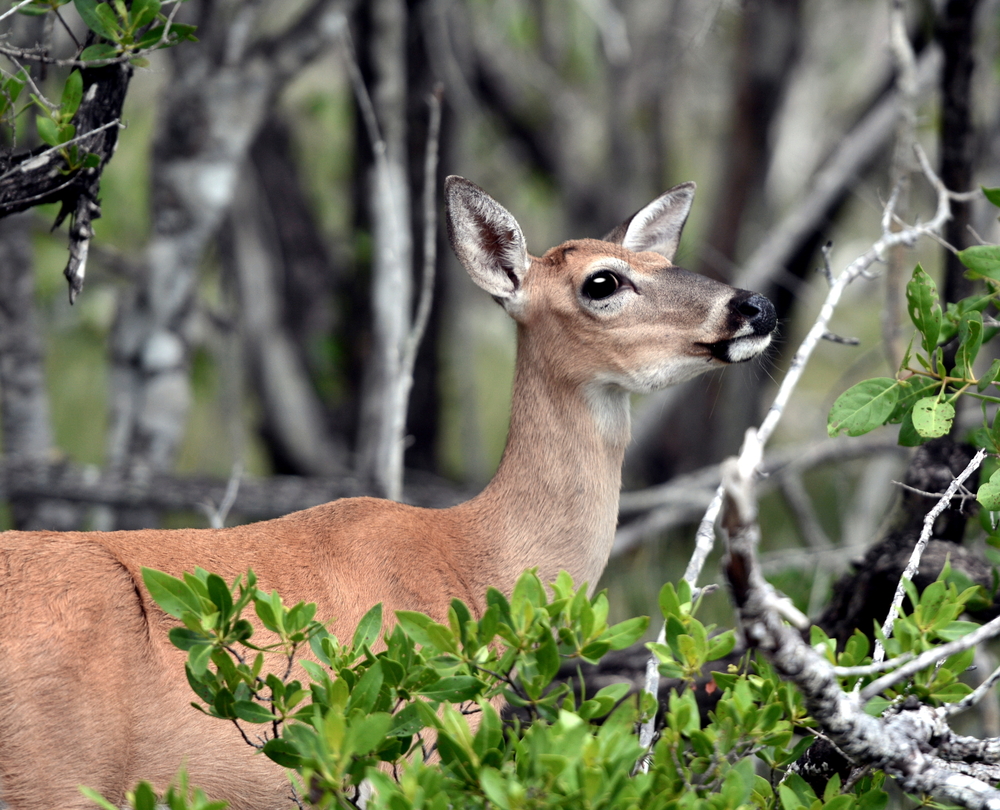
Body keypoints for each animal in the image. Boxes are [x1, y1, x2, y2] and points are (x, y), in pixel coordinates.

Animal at [0, 174, 772, 804]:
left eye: (665, 262)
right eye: (603, 282)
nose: (755, 305)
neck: (473, 562)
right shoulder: (407, 754)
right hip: (55, 772)